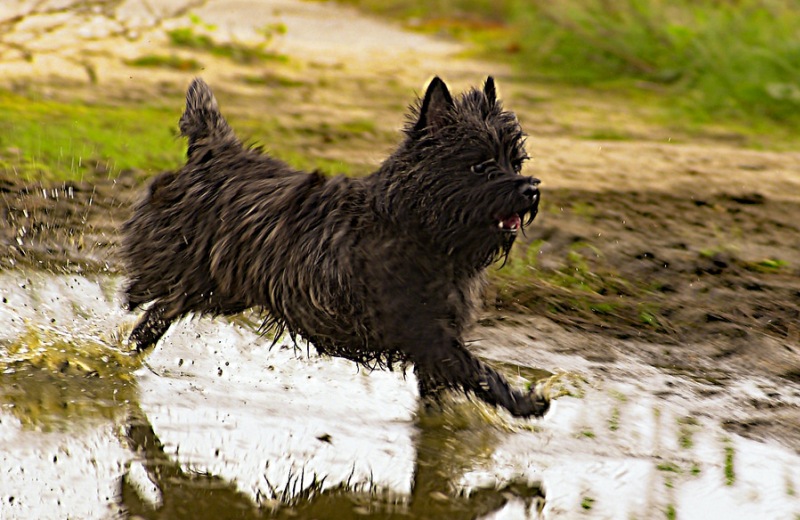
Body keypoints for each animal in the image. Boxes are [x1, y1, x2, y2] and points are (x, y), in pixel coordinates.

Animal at [122, 78, 552, 418]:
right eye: (480, 166)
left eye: (515, 160)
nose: (530, 189)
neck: (416, 227)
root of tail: (212, 151)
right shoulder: (424, 331)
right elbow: (475, 369)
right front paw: (524, 401)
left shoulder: (438, 334)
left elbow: (448, 382)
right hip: (182, 264)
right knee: (142, 294)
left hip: (220, 290)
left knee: (161, 312)